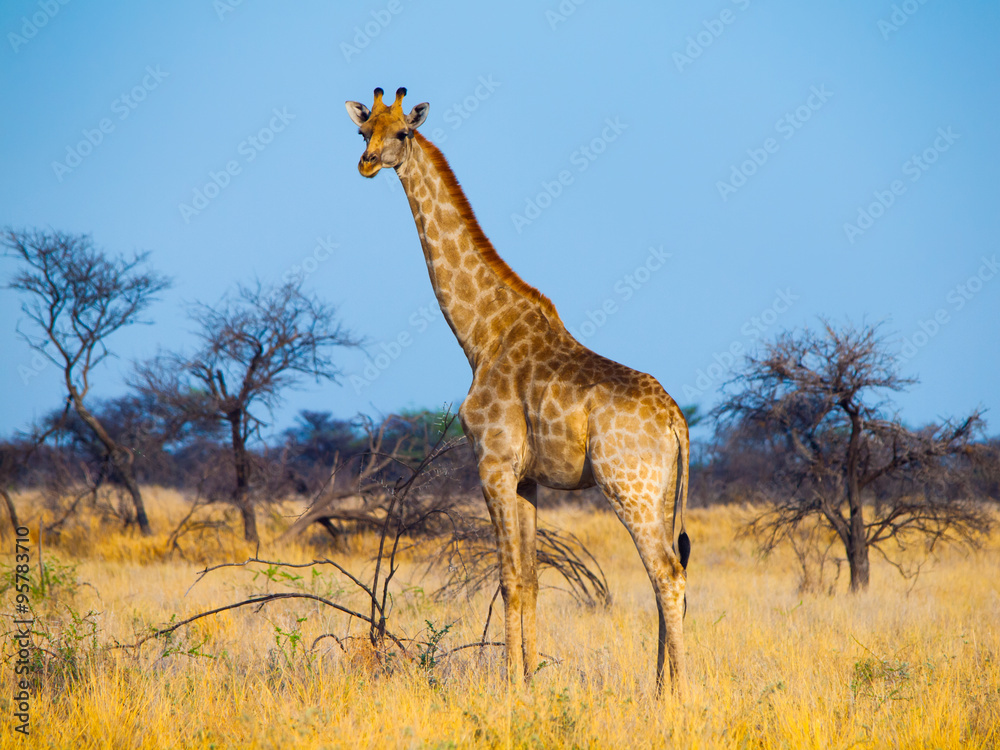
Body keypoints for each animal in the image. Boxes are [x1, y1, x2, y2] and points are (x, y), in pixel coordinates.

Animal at [345, 88, 691, 698]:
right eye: (364, 131)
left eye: (402, 133)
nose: (365, 163)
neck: (480, 334)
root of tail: (676, 418)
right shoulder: (528, 477)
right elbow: (530, 577)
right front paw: (530, 680)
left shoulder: (493, 462)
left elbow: (507, 577)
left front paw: (510, 685)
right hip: (661, 491)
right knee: (666, 575)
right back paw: (658, 687)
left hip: (630, 488)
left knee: (668, 576)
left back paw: (681, 694)